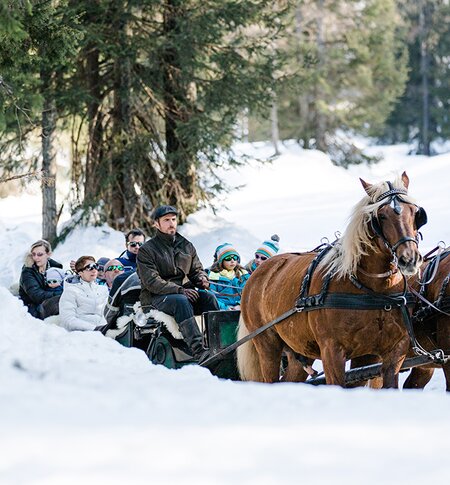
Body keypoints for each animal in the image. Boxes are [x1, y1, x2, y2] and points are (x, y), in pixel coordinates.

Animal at [237, 172, 428, 388]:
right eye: (381, 215)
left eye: (415, 213)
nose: (409, 259)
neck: (375, 291)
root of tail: (258, 272)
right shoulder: (332, 350)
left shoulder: (390, 352)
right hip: (267, 343)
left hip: (298, 350)